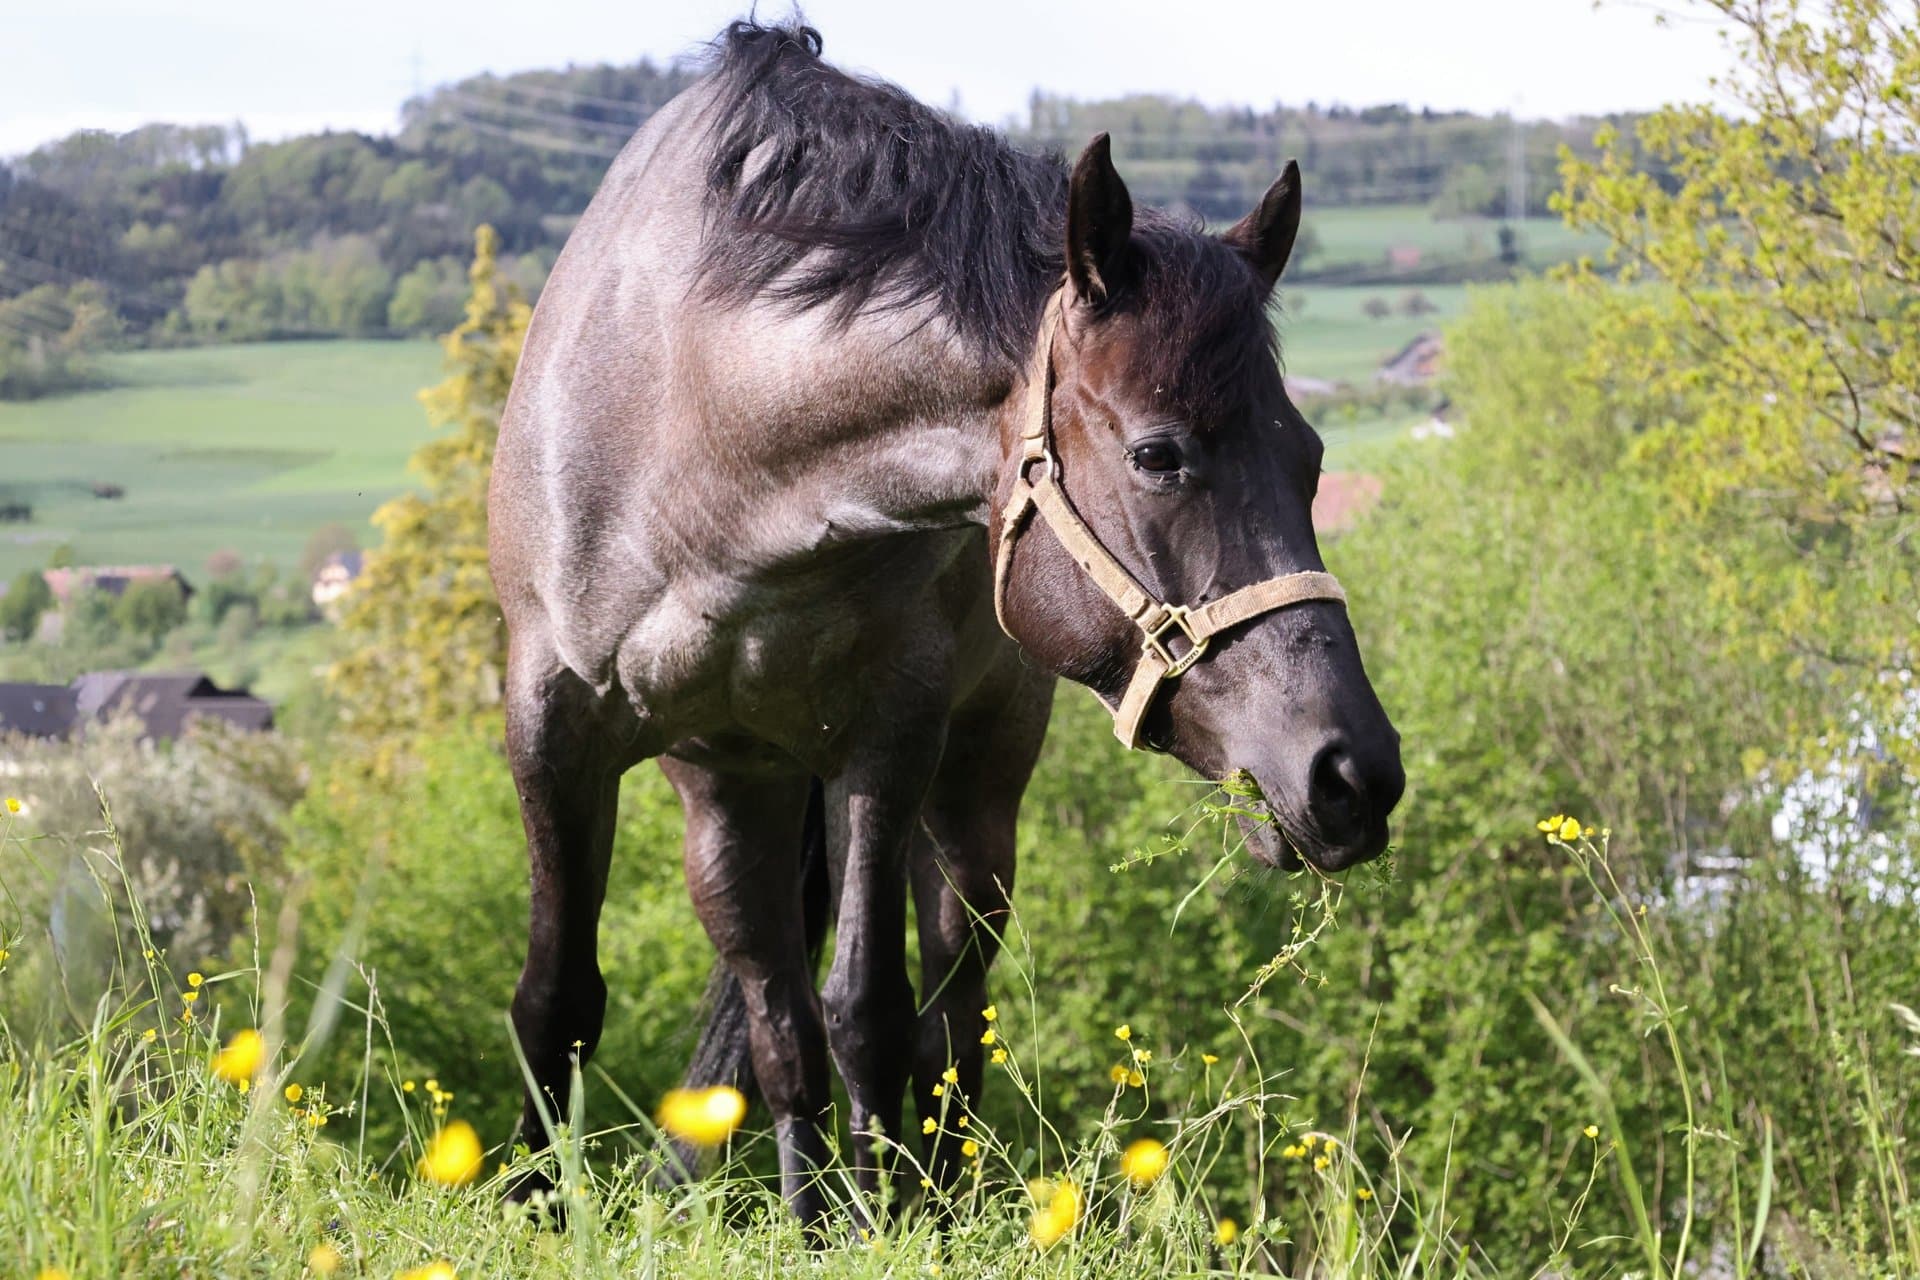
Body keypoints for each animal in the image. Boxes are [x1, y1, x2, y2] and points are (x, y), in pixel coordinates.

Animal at [487, 20, 1405, 1225]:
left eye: (1310, 458)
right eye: (1160, 454)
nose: (1354, 773)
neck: (696, 421)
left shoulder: (890, 739)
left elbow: (873, 1014)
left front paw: (884, 1227)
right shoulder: (554, 727)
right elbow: (561, 998)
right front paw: (534, 1207)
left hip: (975, 788)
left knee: (951, 1018)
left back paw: (933, 1199)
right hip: (732, 793)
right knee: (780, 1019)